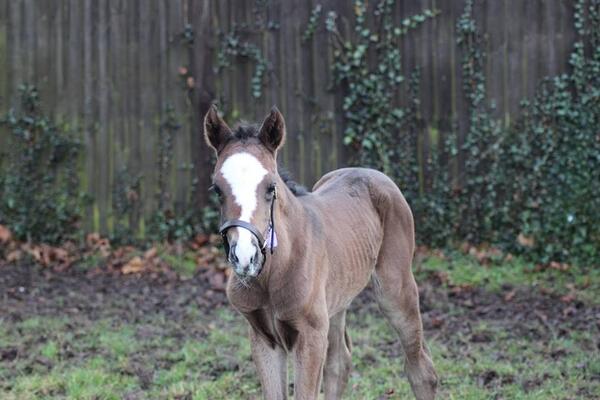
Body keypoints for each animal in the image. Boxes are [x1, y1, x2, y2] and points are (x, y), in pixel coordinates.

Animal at [204, 104, 438, 398]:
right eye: (217, 189)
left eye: (271, 187)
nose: (245, 257)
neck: (275, 272)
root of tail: (371, 172)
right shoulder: (263, 337)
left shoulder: (310, 336)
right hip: (337, 301)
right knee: (339, 363)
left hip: (395, 288)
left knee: (421, 368)